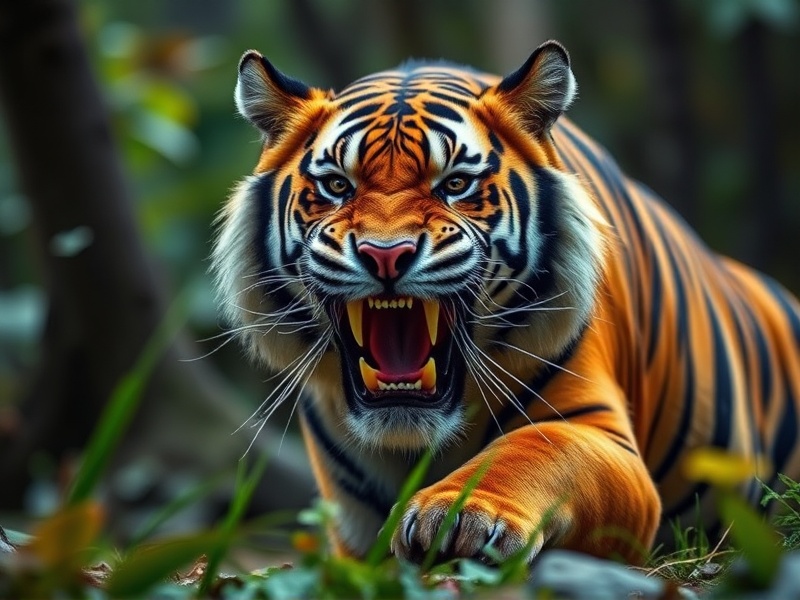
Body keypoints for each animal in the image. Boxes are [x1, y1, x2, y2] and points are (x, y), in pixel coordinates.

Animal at [211, 40, 800, 565]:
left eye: (455, 184)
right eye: (336, 186)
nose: (386, 254)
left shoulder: (603, 437)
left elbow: (536, 448)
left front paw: (461, 514)